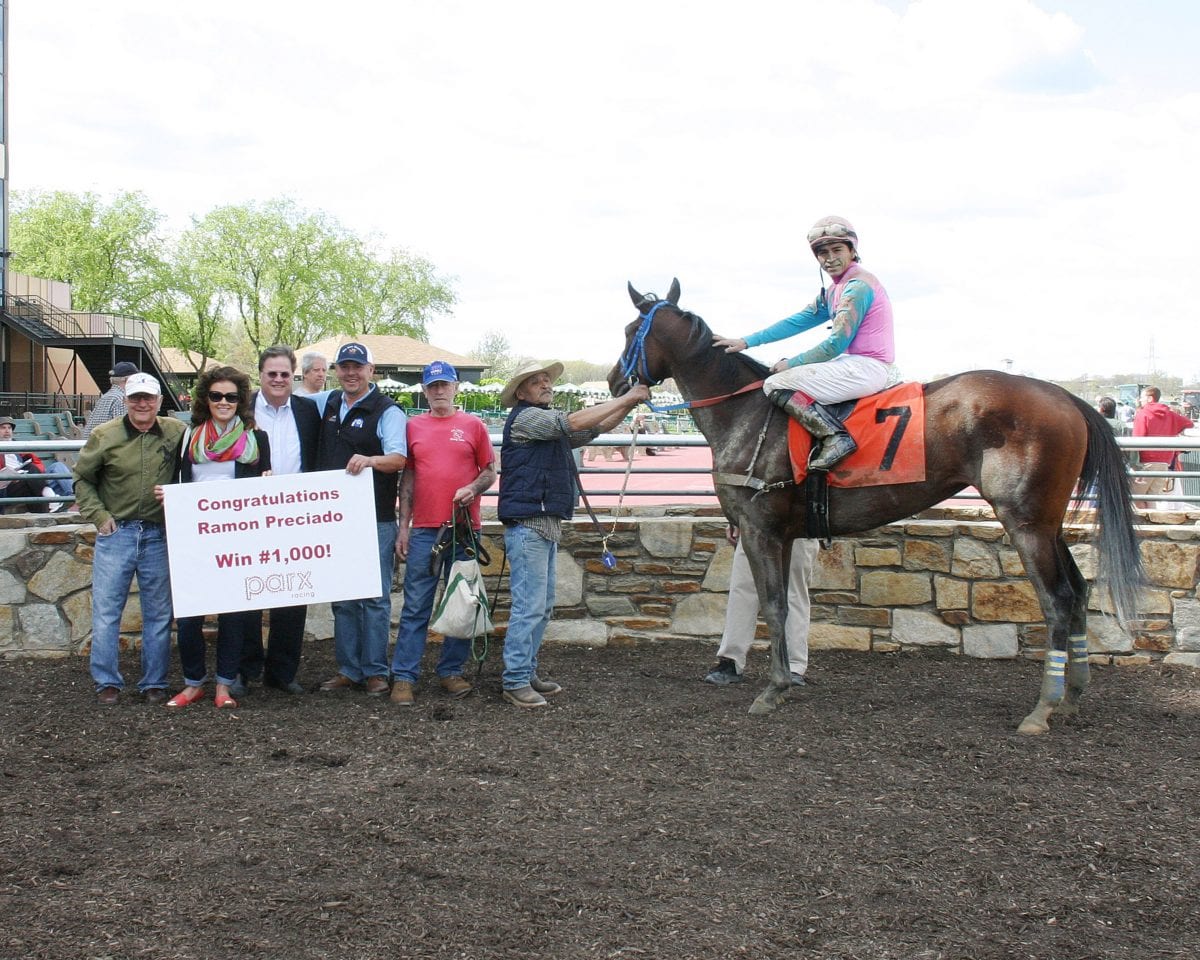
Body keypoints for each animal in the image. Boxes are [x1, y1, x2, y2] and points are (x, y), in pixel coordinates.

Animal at [609, 279, 1142, 734]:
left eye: (630, 331)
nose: (615, 381)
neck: (746, 414)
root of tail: (1066, 397)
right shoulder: (782, 534)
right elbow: (783, 606)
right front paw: (784, 682)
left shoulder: (760, 531)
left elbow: (775, 605)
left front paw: (774, 689)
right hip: (1049, 525)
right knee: (1079, 593)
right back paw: (1072, 698)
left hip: (1026, 523)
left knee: (1058, 600)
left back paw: (1043, 708)